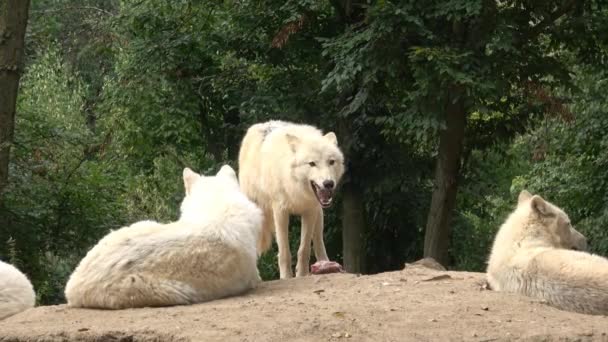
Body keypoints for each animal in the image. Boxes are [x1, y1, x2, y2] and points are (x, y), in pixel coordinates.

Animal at [238, 121, 344, 280]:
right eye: (312, 163)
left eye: (331, 162)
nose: (328, 183)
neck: (295, 186)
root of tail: (261, 124)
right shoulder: (280, 212)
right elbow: (284, 252)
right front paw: (286, 277)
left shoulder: (310, 211)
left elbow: (304, 248)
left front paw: (302, 274)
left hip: (319, 213)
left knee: (319, 242)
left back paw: (326, 265)